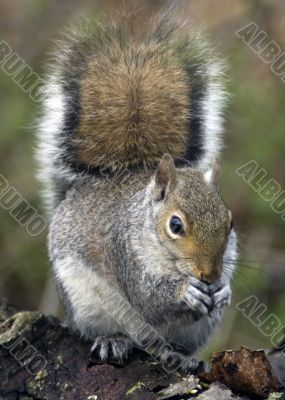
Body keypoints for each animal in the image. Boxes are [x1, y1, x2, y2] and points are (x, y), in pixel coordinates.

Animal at [37, 10, 237, 374]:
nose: (209, 274)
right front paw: (185, 292)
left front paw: (223, 291)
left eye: (229, 223)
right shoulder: (125, 254)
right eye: (175, 225)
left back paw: (183, 357)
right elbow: (148, 298)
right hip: (85, 304)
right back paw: (114, 341)